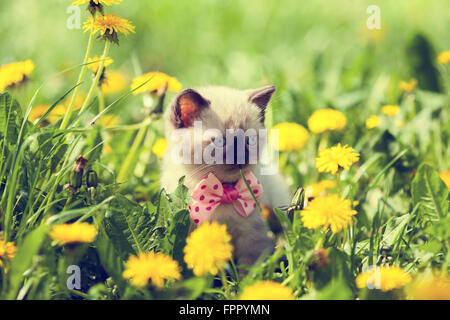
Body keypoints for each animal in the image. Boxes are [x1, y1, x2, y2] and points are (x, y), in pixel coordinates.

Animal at [160, 84, 290, 268]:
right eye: (220, 142)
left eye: (250, 141)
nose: (240, 156)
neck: (223, 190)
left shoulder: (253, 238)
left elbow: (248, 269)